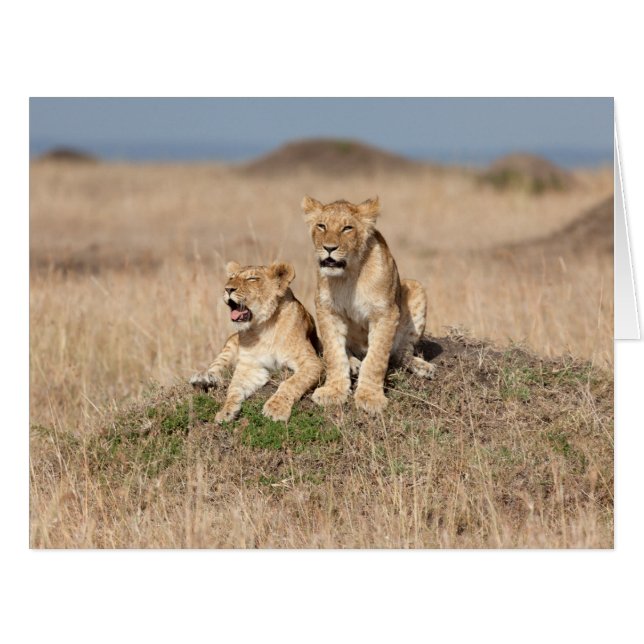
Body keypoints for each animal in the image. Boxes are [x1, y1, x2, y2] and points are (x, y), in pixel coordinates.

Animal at [190, 261, 323, 424]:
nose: (228, 289)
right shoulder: (250, 367)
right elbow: (234, 389)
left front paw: (275, 409)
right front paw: (226, 411)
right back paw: (203, 379)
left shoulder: (312, 362)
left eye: (251, 279)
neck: (264, 327)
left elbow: (291, 382)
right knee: (217, 366)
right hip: (231, 341)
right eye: (231, 277)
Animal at [301, 196, 436, 415]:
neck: (348, 275)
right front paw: (333, 392)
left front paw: (370, 398)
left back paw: (423, 367)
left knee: (400, 354)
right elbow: (333, 353)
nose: (329, 248)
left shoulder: (385, 313)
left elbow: (376, 359)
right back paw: (353, 362)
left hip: (415, 287)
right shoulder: (327, 310)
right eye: (321, 226)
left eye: (347, 228)